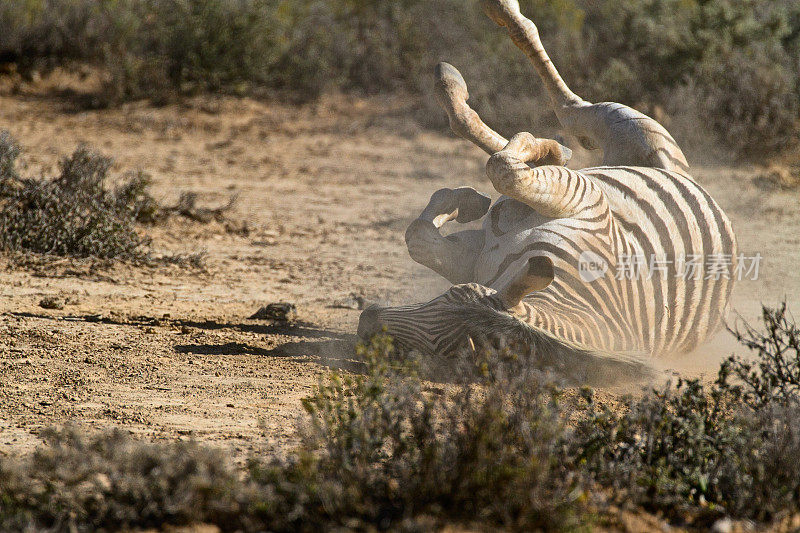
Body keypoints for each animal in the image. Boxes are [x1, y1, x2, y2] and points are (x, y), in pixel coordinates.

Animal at [358, 0, 736, 378]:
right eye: (449, 294)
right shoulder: (491, 251)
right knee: (539, 134)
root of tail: (686, 177)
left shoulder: (587, 204)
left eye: (435, 350)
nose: (366, 322)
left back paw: (492, 31)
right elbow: (422, 235)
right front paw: (478, 192)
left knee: (567, 107)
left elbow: (500, 173)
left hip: (625, 123)